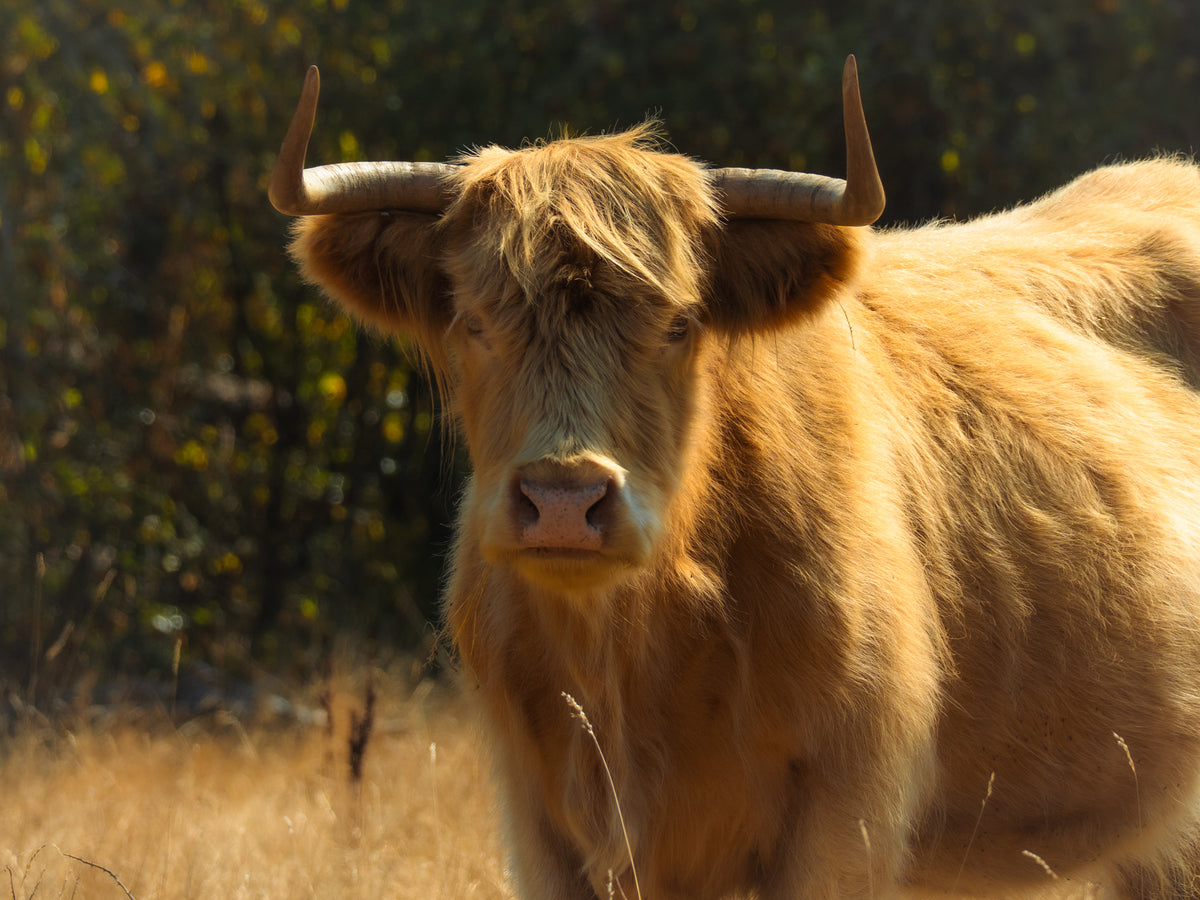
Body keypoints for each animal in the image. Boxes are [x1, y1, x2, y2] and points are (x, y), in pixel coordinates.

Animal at [269, 57, 1200, 899]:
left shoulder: (843, 816)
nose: (565, 501)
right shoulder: (540, 823)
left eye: (680, 323)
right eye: (471, 320)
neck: (632, 655)